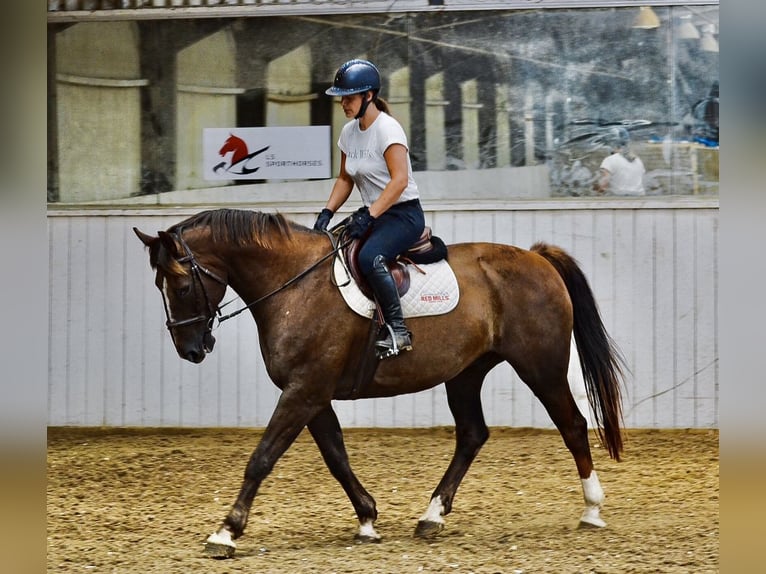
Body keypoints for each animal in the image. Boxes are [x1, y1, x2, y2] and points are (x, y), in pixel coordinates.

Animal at [134, 209, 624, 560]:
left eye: (181, 286)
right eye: (158, 285)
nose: (190, 349)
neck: (294, 285)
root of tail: (537, 256)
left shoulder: (303, 391)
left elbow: (262, 458)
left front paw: (226, 531)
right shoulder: (313, 394)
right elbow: (336, 457)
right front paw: (367, 519)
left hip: (541, 367)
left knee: (572, 425)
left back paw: (592, 509)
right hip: (465, 374)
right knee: (472, 435)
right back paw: (431, 516)